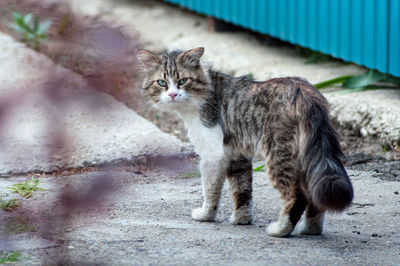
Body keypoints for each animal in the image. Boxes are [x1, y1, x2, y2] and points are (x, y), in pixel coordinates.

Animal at [137, 46, 354, 237]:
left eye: (182, 81)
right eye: (162, 83)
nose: (173, 94)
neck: (206, 92)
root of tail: (306, 93)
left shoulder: (213, 155)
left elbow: (210, 190)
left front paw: (206, 215)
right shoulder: (237, 155)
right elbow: (242, 191)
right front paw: (241, 219)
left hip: (278, 156)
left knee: (297, 196)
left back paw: (280, 230)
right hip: (306, 157)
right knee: (314, 199)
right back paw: (310, 229)